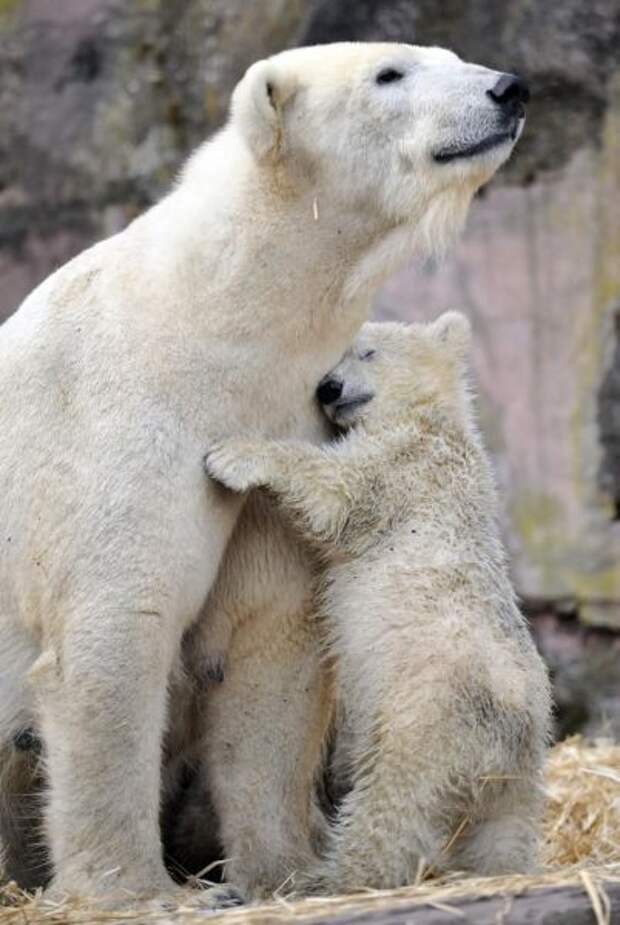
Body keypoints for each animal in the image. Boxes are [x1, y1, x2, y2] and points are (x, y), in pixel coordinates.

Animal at [205, 314, 552, 892]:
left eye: (366, 352)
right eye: (333, 357)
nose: (328, 388)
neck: (437, 419)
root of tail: (517, 735)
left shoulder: (406, 465)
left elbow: (336, 492)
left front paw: (233, 455)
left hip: (430, 715)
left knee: (393, 802)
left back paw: (331, 877)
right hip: (516, 775)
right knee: (503, 831)